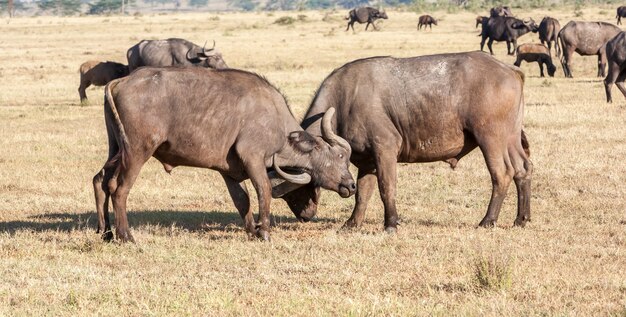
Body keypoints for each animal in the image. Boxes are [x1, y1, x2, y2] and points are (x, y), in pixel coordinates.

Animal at [92, 66, 356, 241]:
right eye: (340, 158)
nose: (351, 185)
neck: (276, 122)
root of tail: (123, 80)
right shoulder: (253, 158)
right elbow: (263, 191)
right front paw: (265, 231)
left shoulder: (229, 172)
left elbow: (242, 200)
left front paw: (252, 230)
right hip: (137, 152)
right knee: (119, 189)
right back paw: (125, 235)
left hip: (117, 148)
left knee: (100, 180)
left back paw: (105, 232)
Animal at [282, 51, 532, 230]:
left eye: (298, 186)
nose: (304, 215)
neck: (346, 99)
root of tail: (509, 69)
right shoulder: (367, 161)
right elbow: (363, 192)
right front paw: (352, 223)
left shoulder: (385, 149)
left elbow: (386, 186)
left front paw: (391, 222)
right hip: (511, 138)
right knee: (523, 168)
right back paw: (521, 218)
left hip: (490, 138)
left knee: (502, 173)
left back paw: (487, 220)